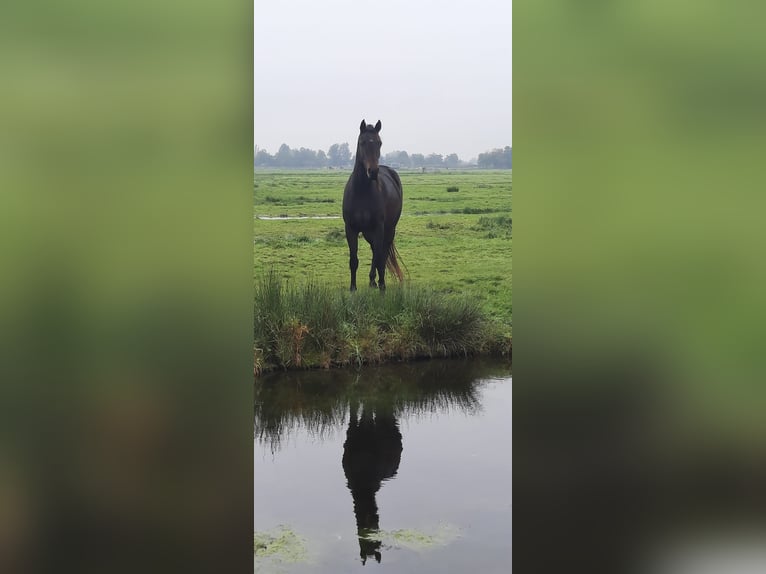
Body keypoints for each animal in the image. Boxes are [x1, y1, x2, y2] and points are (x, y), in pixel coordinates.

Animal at [340, 120, 402, 292]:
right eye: (362, 142)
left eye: (379, 143)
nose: (373, 171)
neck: (362, 191)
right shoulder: (351, 228)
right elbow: (354, 260)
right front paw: (353, 288)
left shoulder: (378, 227)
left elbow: (380, 258)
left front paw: (382, 286)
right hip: (368, 232)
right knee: (375, 250)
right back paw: (372, 281)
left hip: (389, 230)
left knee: (382, 253)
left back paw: (377, 281)